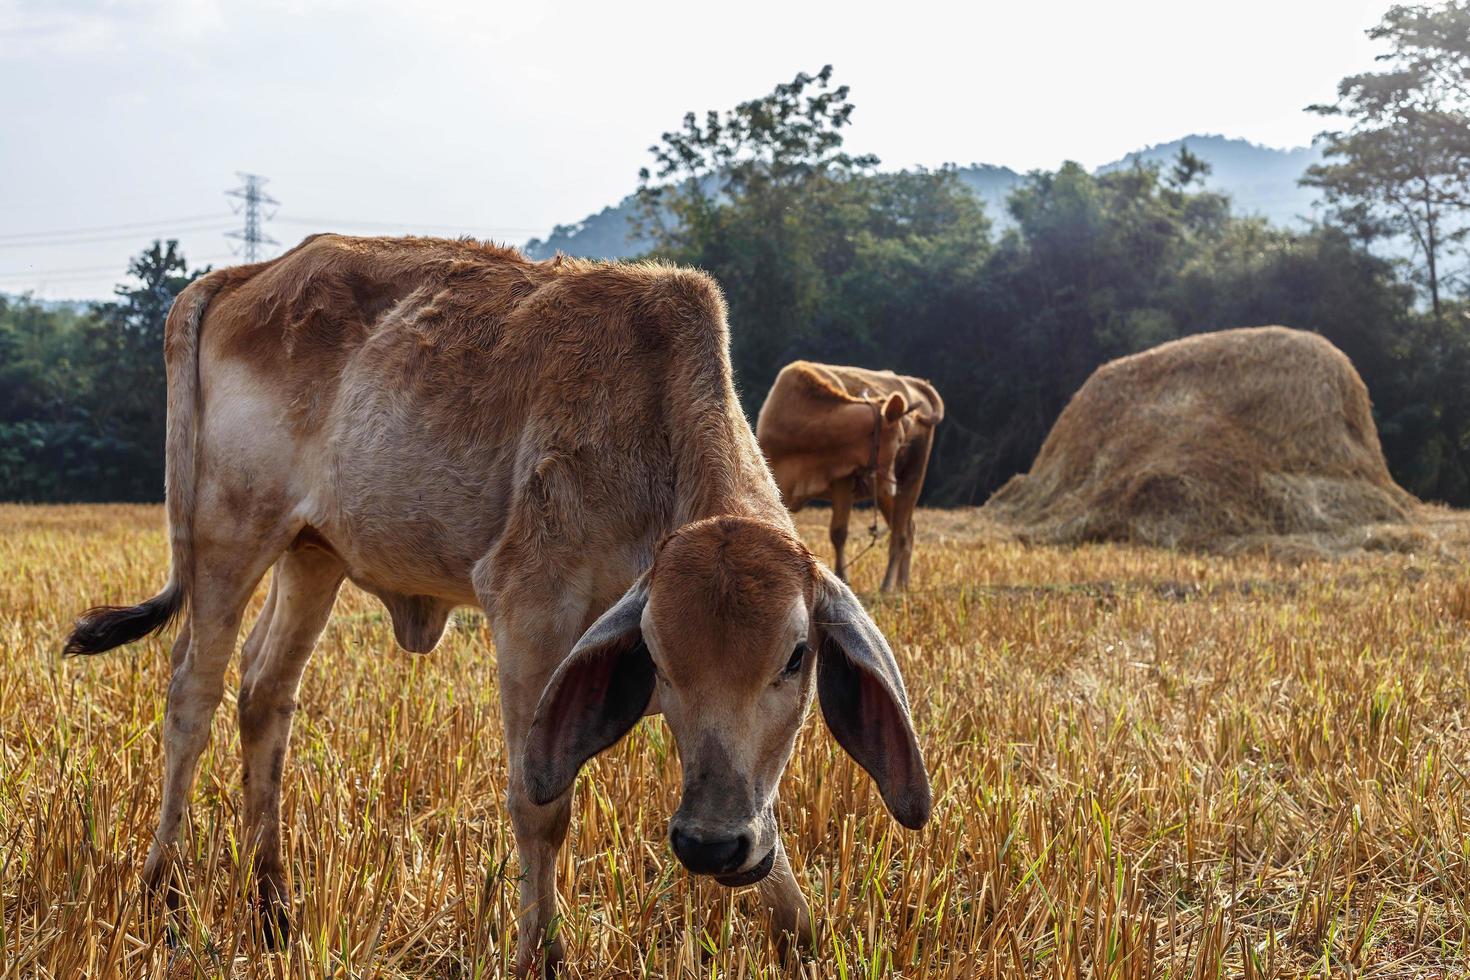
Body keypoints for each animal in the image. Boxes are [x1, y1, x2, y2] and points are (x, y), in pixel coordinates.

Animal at [758, 359, 940, 590]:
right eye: (899, 439)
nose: (891, 485)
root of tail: (915, 382)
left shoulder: (843, 480)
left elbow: (838, 532)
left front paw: (842, 578)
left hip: (911, 480)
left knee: (900, 534)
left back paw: (888, 586)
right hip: (886, 495)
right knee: (908, 529)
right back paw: (903, 585)